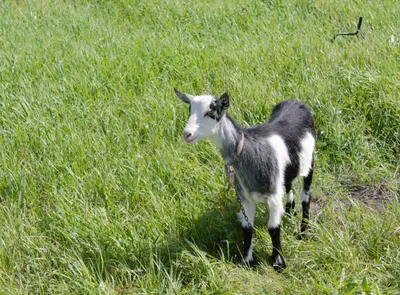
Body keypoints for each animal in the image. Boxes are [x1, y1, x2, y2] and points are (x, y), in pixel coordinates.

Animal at [174, 89, 316, 272]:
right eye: (190, 110)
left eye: (211, 113)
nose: (187, 134)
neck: (248, 150)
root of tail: (295, 101)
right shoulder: (245, 198)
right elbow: (247, 228)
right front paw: (247, 261)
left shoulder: (273, 196)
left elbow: (273, 228)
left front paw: (278, 262)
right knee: (289, 184)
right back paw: (290, 211)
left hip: (310, 162)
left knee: (306, 196)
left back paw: (303, 232)